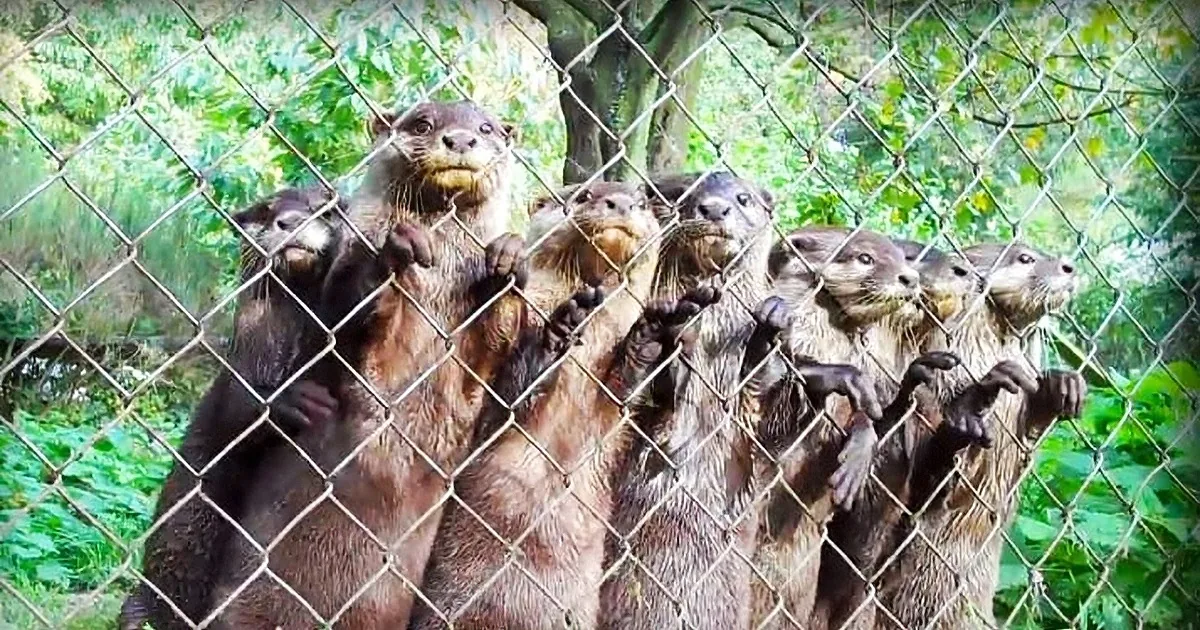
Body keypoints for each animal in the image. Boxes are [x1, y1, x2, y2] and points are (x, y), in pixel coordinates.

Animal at [118, 186, 343, 630]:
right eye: (266, 210)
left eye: (323, 208)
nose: (289, 221)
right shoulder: (239, 366)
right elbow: (235, 415)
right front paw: (291, 398)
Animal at [209, 100, 523, 628]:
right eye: (422, 123)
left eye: (486, 127)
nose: (461, 140)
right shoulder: (343, 299)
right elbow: (352, 312)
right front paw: (397, 250)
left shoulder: (475, 360)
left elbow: (495, 340)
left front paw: (511, 257)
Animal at [408, 181, 684, 630]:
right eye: (584, 194)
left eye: (643, 203)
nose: (623, 203)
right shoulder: (496, 398)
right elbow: (508, 395)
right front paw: (551, 326)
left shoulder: (613, 411)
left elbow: (621, 391)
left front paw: (648, 336)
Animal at [595, 171, 779, 629]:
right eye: (681, 193)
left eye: (743, 198)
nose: (714, 208)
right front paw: (662, 347)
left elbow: (753, 408)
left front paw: (766, 339)